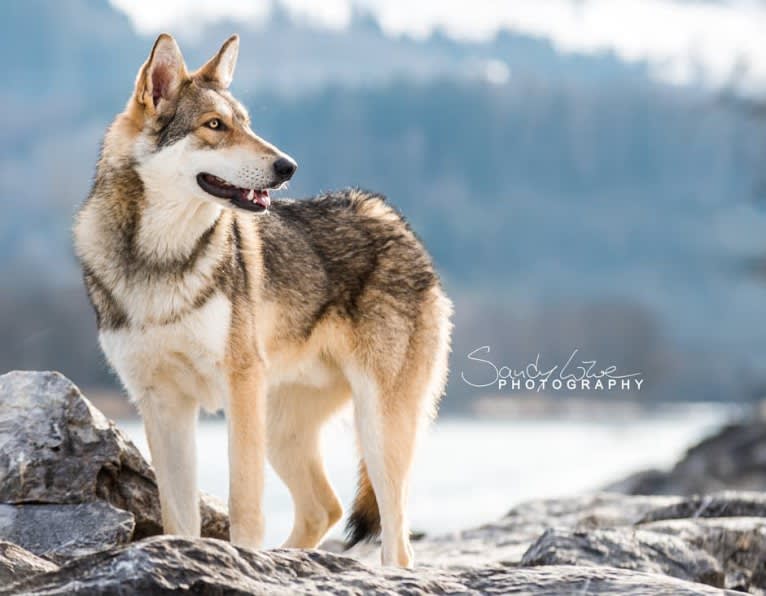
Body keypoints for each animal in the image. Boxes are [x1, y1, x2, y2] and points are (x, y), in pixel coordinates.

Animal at [73, 33, 450, 568]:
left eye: (247, 123)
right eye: (215, 125)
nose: (288, 166)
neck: (162, 260)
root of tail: (390, 216)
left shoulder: (240, 386)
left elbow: (244, 504)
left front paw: (242, 560)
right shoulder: (162, 404)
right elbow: (178, 517)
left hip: (376, 429)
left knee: (395, 540)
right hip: (281, 428)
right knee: (325, 507)